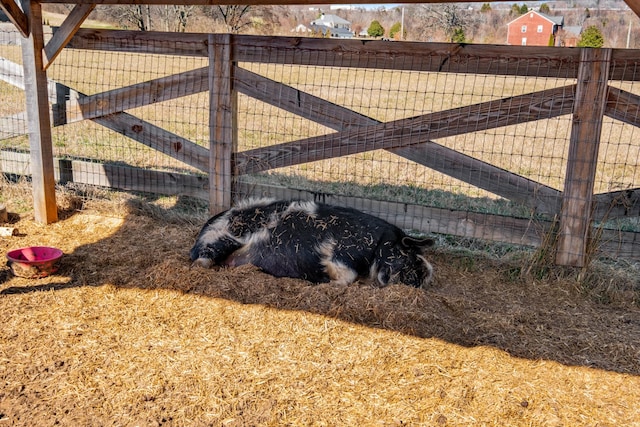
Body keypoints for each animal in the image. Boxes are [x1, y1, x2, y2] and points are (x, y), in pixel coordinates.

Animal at [190, 200, 436, 288]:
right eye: (413, 255)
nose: (425, 275)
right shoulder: (337, 253)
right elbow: (346, 276)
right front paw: (323, 281)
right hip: (221, 239)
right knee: (199, 262)